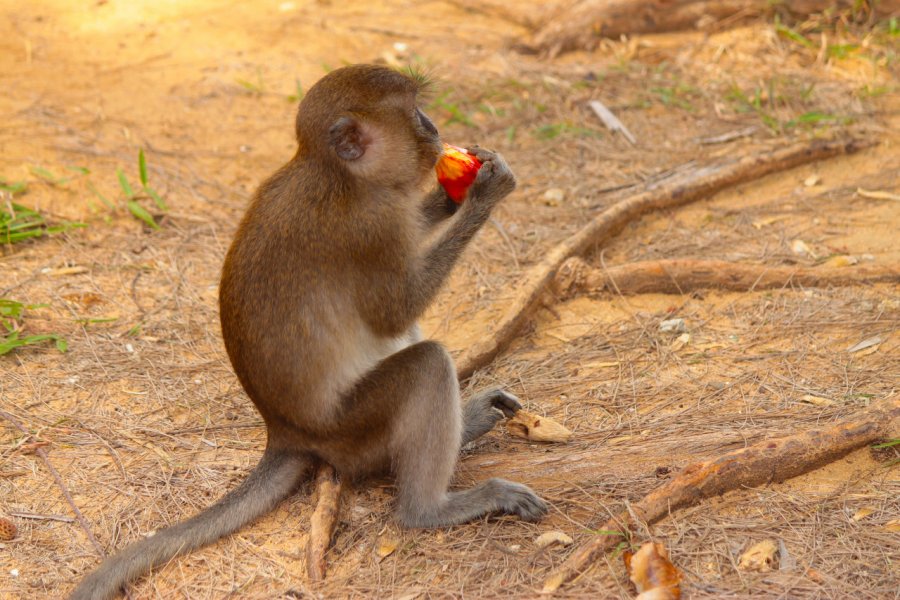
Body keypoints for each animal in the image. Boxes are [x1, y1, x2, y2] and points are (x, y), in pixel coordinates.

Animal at [70, 65, 544, 600]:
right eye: (414, 112)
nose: (435, 127)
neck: (336, 175)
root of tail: (285, 432)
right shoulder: (370, 226)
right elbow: (393, 312)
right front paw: (483, 195)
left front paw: (448, 197)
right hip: (354, 431)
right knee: (425, 365)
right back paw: (430, 509)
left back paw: (470, 423)